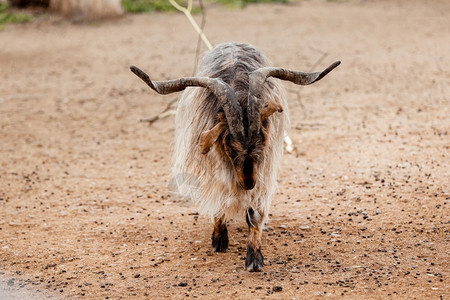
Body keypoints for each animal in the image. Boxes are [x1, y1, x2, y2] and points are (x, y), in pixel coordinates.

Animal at [128, 42, 340, 272]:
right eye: (230, 143)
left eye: (261, 140)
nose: (248, 183)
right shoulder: (215, 167)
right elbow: (219, 198)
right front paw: (220, 239)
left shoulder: (263, 169)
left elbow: (255, 213)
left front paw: (254, 259)